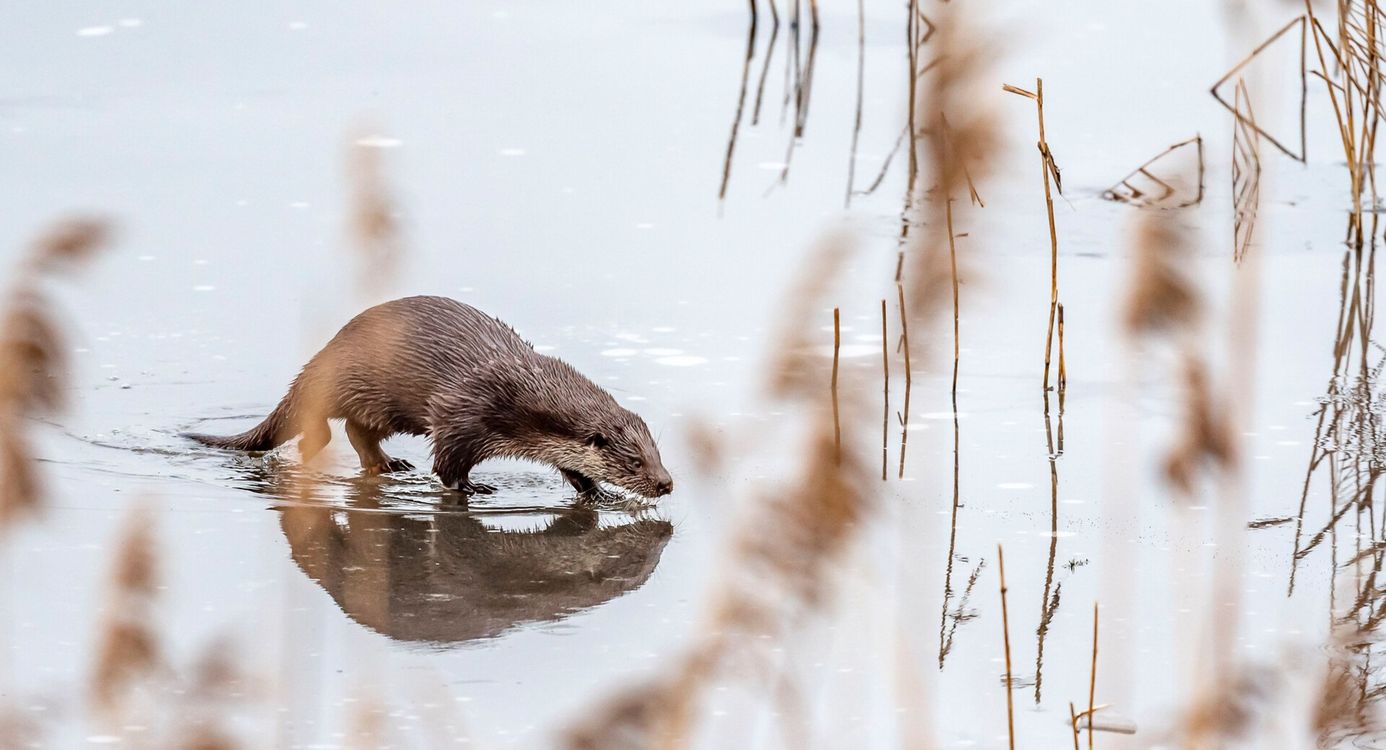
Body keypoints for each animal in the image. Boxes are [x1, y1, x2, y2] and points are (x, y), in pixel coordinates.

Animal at [185, 295, 673, 498]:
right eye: (635, 463)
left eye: (658, 454)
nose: (666, 484)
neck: (518, 393)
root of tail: (324, 353)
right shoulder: (462, 416)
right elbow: (447, 466)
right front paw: (472, 488)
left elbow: (572, 468)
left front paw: (597, 493)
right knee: (321, 425)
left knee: (357, 430)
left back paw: (389, 464)